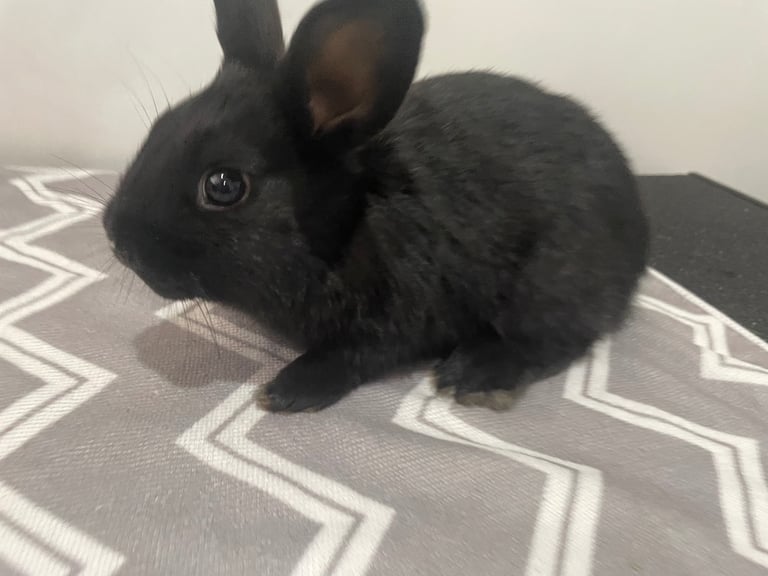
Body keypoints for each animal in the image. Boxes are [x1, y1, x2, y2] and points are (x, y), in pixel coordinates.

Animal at [103, 0, 649, 413]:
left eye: (223, 185)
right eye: (158, 130)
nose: (116, 238)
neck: (350, 223)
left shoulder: (400, 316)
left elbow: (355, 356)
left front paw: (286, 391)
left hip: (549, 284)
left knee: (562, 338)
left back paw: (474, 374)